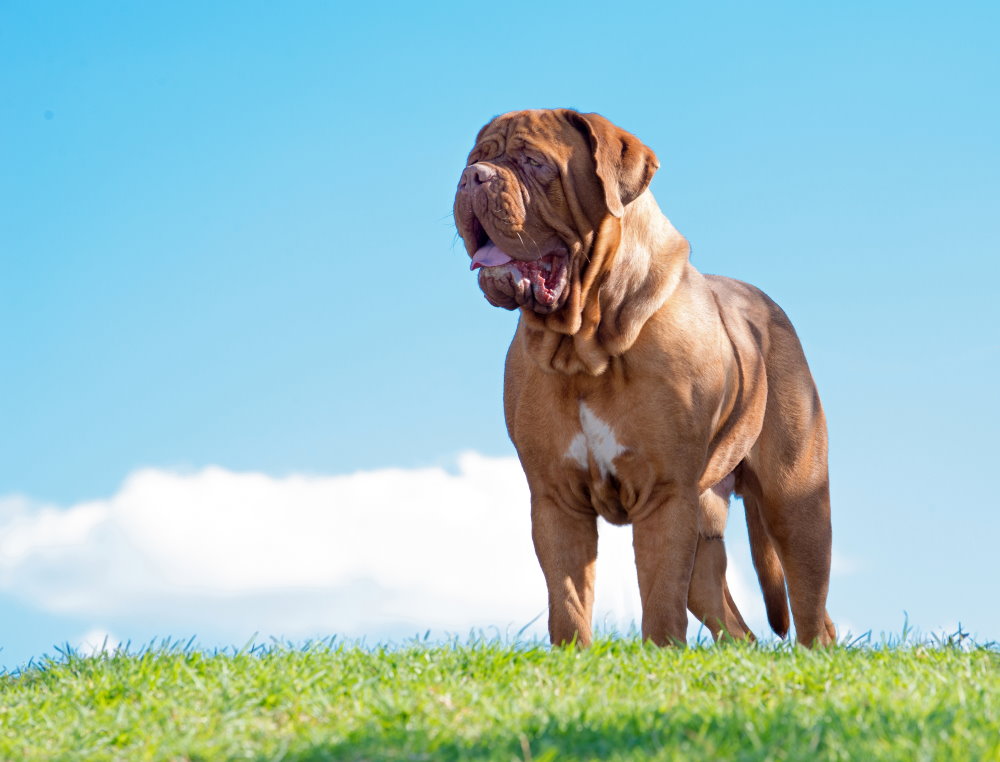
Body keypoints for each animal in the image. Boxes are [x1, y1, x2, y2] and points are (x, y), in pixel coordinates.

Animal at [456, 110, 836, 648]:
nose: (473, 177)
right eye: (475, 158)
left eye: (534, 163)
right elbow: (568, 601)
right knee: (737, 626)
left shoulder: (663, 494)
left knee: (810, 608)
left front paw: (661, 655)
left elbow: (659, 598)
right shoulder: (556, 499)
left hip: (797, 503)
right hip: (707, 525)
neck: (586, 344)